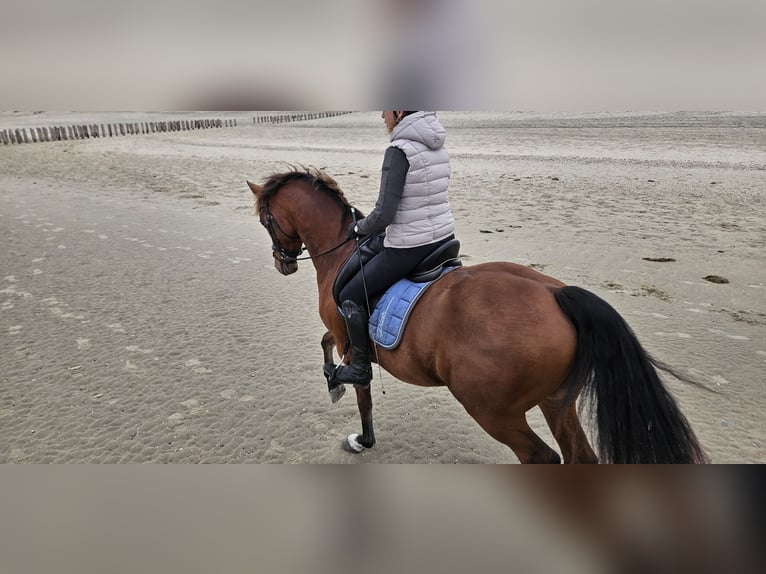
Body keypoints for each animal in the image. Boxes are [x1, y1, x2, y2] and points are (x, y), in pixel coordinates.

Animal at [246, 167, 709, 464]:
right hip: (556, 403)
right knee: (580, 457)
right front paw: (337, 387)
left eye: (265, 219)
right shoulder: (344, 337)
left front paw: (354, 421)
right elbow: (330, 350)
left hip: (493, 411)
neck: (344, 250)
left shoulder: (347, 330)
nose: (283, 264)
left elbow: (355, 382)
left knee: (542, 458)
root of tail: (556, 294)